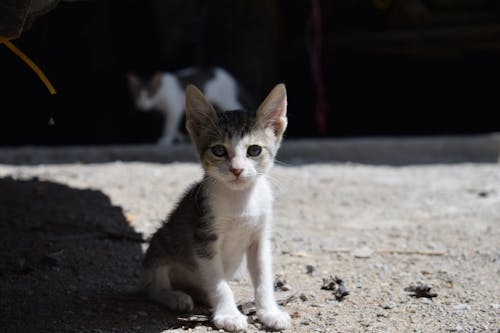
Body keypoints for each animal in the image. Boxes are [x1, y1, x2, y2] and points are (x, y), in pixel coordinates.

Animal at [141, 83, 292, 330]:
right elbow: (218, 283)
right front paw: (228, 314)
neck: (240, 199)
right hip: (161, 246)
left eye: (254, 150)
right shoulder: (203, 238)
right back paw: (174, 296)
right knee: (152, 287)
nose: (237, 170)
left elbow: (263, 278)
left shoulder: (259, 238)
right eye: (219, 151)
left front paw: (269, 311)